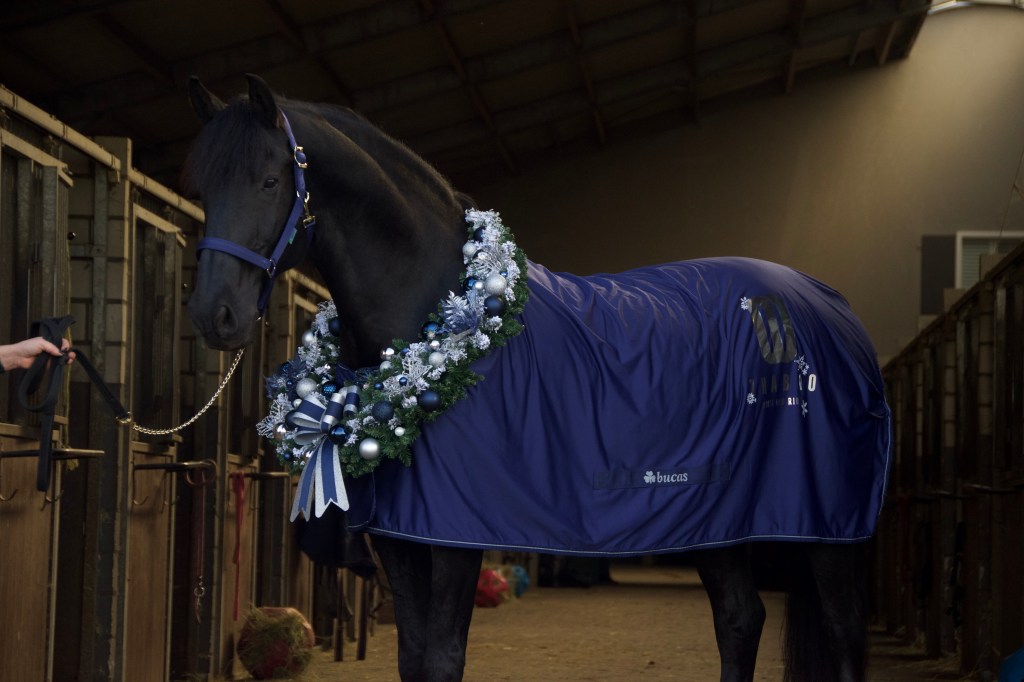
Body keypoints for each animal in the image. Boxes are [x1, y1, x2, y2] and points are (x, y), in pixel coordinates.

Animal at [183, 74, 890, 682]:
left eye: (268, 180)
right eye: (201, 188)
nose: (214, 315)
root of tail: (831, 305)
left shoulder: (458, 533)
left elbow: (442, 659)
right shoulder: (401, 537)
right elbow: (412, 659)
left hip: (826, 527)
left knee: (841, 629)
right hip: (717, 518)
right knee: (741, 620)